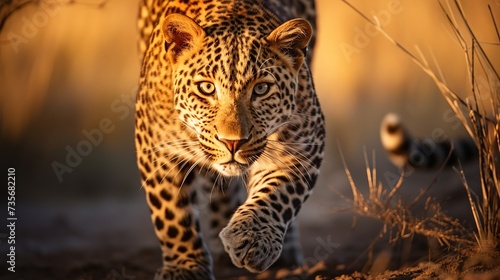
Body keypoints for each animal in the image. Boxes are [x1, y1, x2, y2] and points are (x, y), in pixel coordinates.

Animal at [136, 0, 324, 280]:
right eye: (206, 88)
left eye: (261, 89)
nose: (232, 142)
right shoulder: (157, 147)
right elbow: (172, 215)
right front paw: (186, 267)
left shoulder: (304, 145)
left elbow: (278, 194)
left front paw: (253, 238)